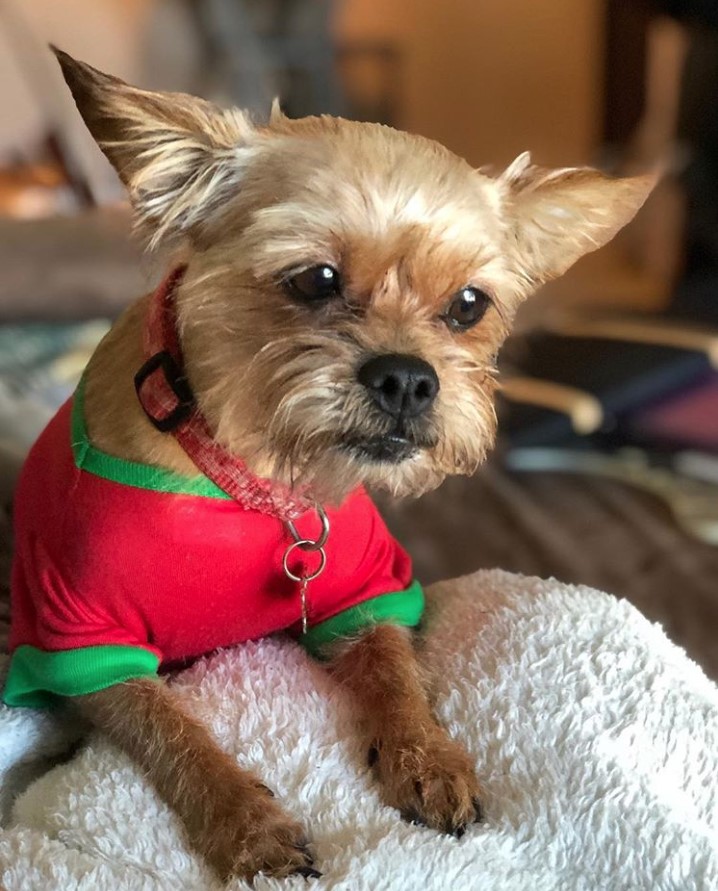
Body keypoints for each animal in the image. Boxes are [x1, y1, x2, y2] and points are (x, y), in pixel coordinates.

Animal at [5, 48, 656, 884]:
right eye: (314, 279)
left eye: (469, 305)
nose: (409, 378)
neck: (256, 477)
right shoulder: (84, 641)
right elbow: (176, 733)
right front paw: (248, 822)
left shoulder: (367, 589)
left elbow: (395, 670)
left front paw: (425, 753)